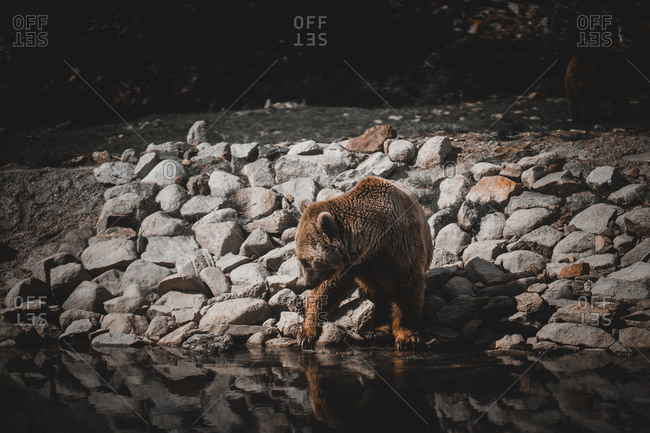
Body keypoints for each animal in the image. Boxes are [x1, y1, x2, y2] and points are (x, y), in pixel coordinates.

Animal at [295, 176, 433, 349]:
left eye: (306, 261)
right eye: (299, 258)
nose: (304, 283)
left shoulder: (398, 246)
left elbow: (406, 285)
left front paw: (407, 337)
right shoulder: (348, 265)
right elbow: (327, 289)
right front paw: (306, 333)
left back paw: (378, 329)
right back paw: (375, 330)